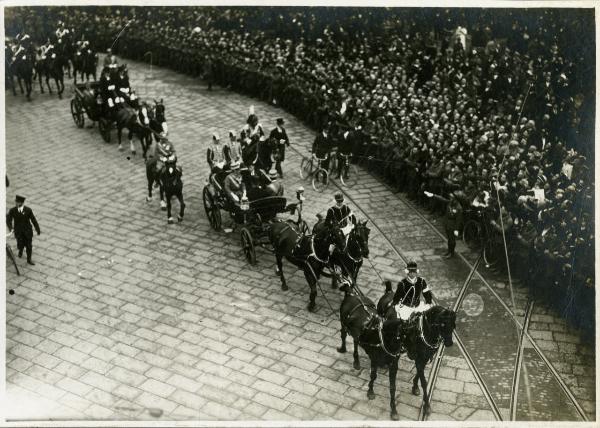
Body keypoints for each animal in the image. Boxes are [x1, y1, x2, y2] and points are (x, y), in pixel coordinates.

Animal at [338, 282, 454, 420]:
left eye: (453, 325)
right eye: (442, 324)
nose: (449, 343)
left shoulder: (421, 358)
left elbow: (412, 379)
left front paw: (416, 391)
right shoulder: (416, 359)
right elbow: (423, 381)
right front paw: (426, 406)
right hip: (344, 324)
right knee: (347, 337)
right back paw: (347, 353)